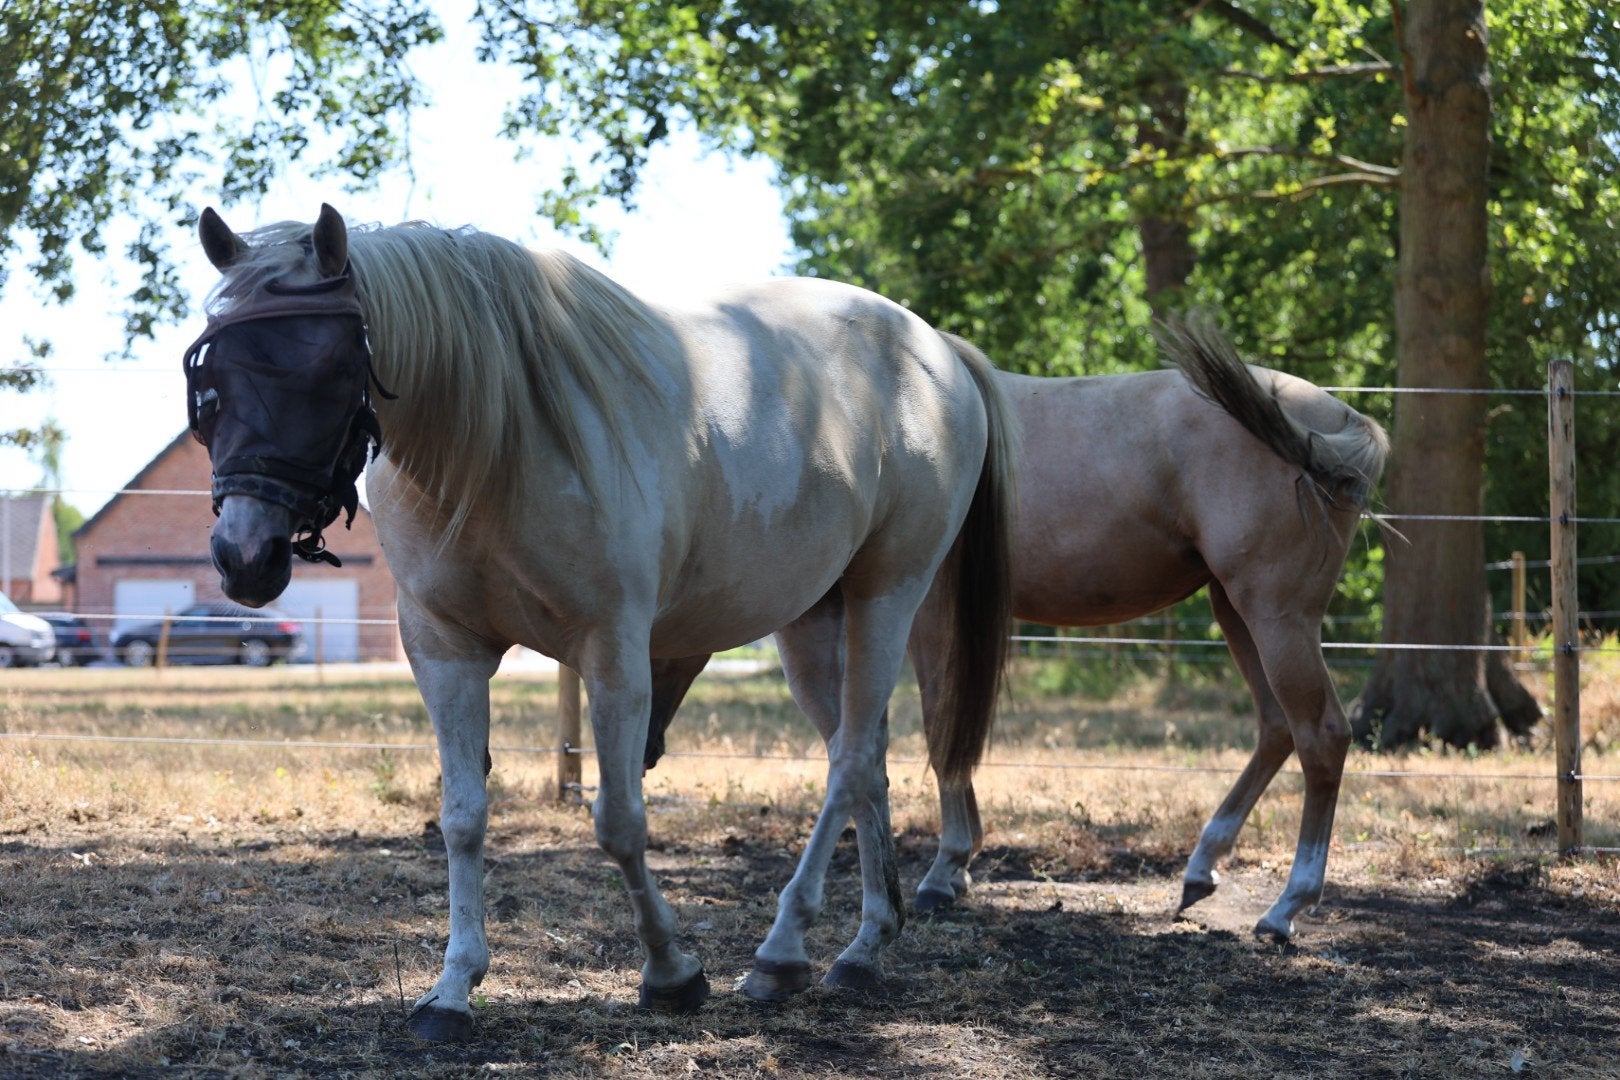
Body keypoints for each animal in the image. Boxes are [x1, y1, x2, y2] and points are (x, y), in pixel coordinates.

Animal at [183, 204, 1015, 1042]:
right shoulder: (445, 652)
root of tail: (935, 349)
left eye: (330, 372)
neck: (497, 445)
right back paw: (864, 942)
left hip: (887, 595)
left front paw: (672, 973)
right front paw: (452, 990)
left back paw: (789, 950)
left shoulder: (614, 653)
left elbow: (619, 822)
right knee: (865, 754)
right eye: (212, 379)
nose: (244, 556)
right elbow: (462, 817)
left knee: (847, 763)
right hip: (812, 619)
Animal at [643, 316, 1389, 941]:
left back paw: (1287, 907)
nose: (644, 746)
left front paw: (946, 868)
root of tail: (1344, 424)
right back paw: (1202, 868)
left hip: (1275, 612)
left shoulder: (928, 612)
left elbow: (941, 728)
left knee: (1321, 735)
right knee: (1277, 728)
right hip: (1238, 609)